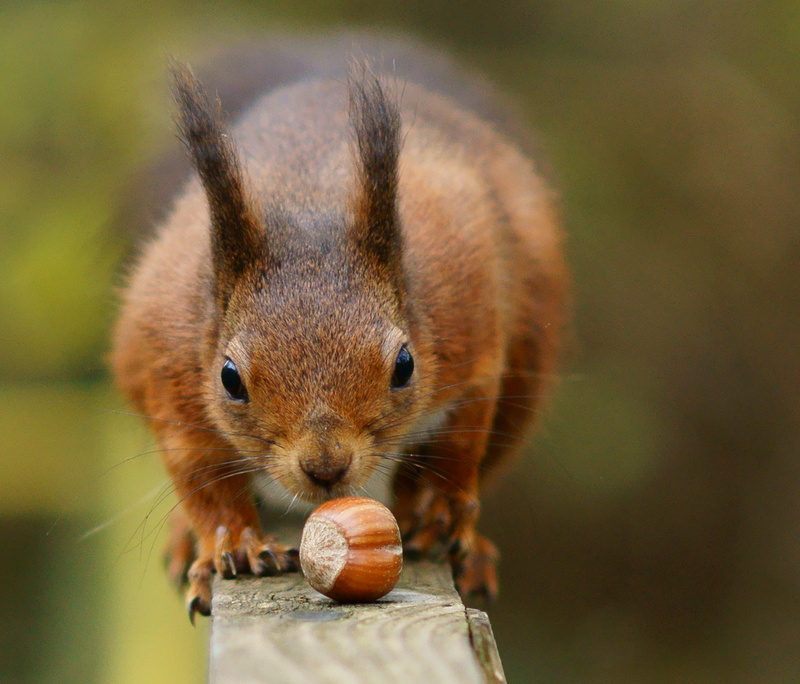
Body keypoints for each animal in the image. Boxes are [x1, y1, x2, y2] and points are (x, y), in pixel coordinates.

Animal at [111, 35, 567, 621]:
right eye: (230, 379)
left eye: (404, 366)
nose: (326, 467)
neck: (308, 207)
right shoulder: (170, 372)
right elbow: (200, 479)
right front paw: (233, 545)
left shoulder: (471, 331)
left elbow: (462, 440)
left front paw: (441, 507)